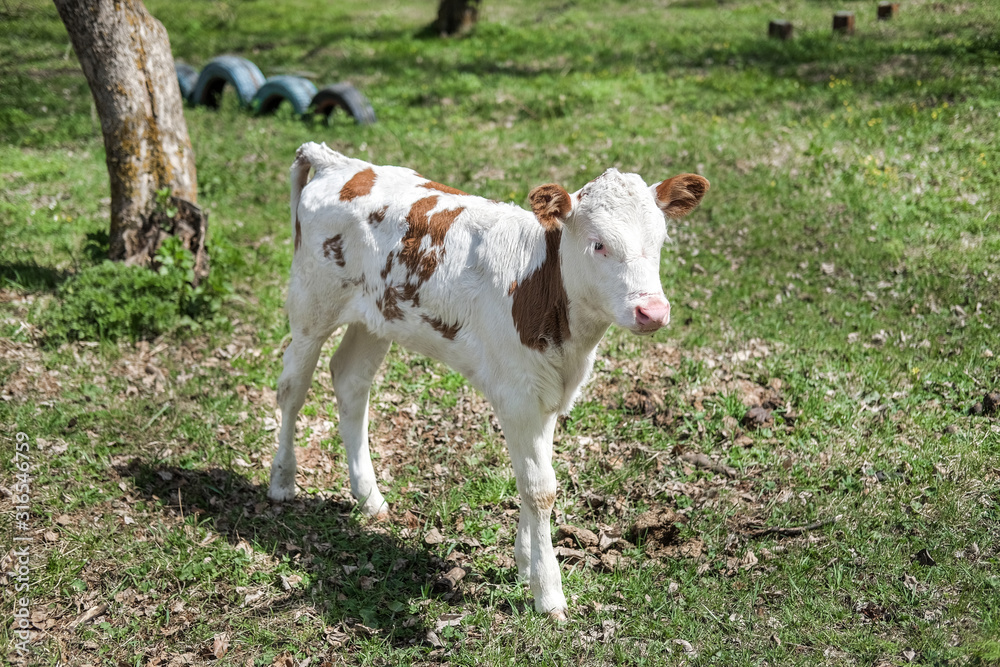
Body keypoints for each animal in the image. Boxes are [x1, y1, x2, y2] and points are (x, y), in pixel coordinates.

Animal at [272, 142, 712, 620]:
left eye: (659, 242)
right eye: (599, 244)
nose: (653, 311)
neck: (545, 294)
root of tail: (339, 162)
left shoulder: (545, 394)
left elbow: (534, 477)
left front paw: (524, 563)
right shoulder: (517, 396)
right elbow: (541, 489)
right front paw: (549, 593)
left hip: (376, 318)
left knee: (351, 381)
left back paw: (370, 499)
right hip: (311, 305)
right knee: (292, 388)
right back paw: (282, 482)